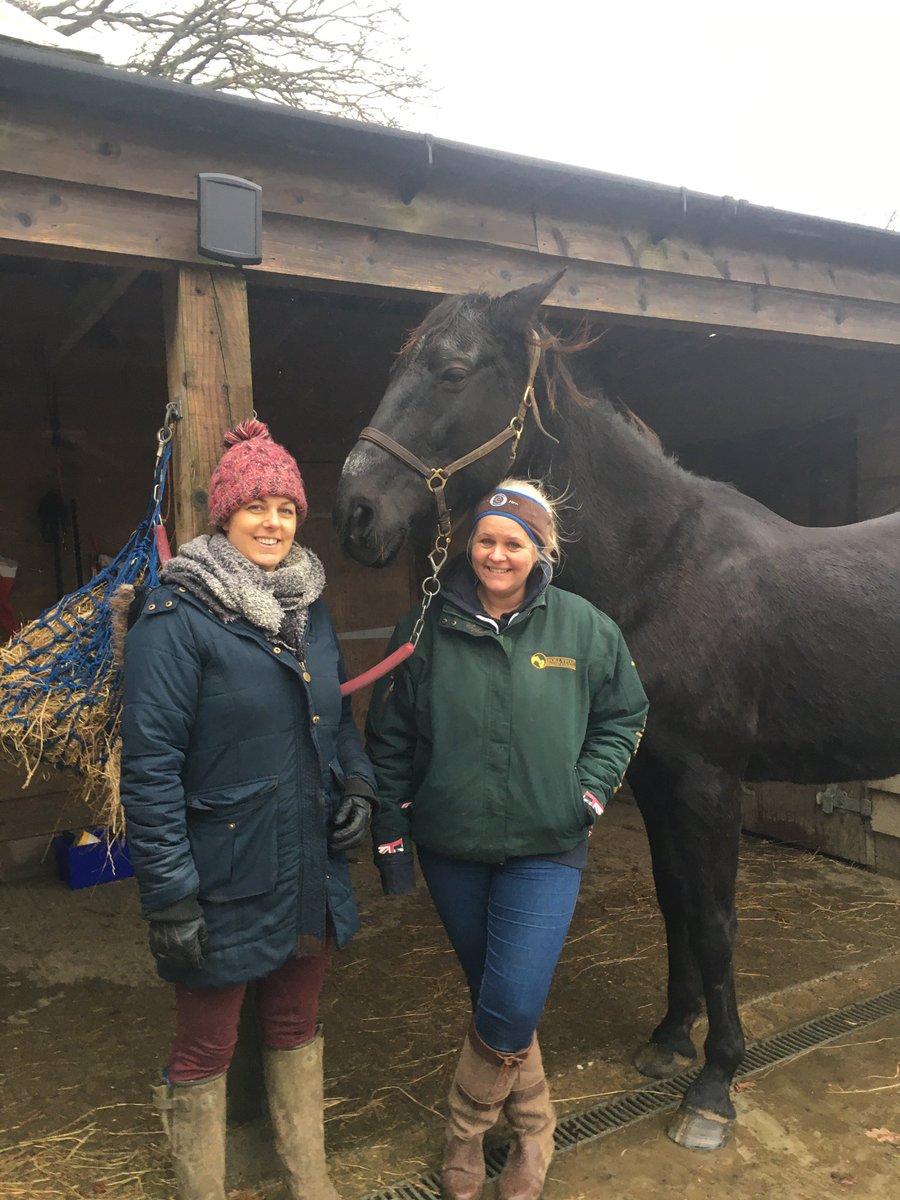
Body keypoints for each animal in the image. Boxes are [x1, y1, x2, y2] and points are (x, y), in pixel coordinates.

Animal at [333, 273, 900, 1151]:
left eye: (452, 370)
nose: (356, 510)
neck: (663, 567)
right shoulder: (657, 776)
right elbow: (676, 907)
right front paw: (670, 1040)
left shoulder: (711, 780)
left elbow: (716, 921)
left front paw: (714, 1087)